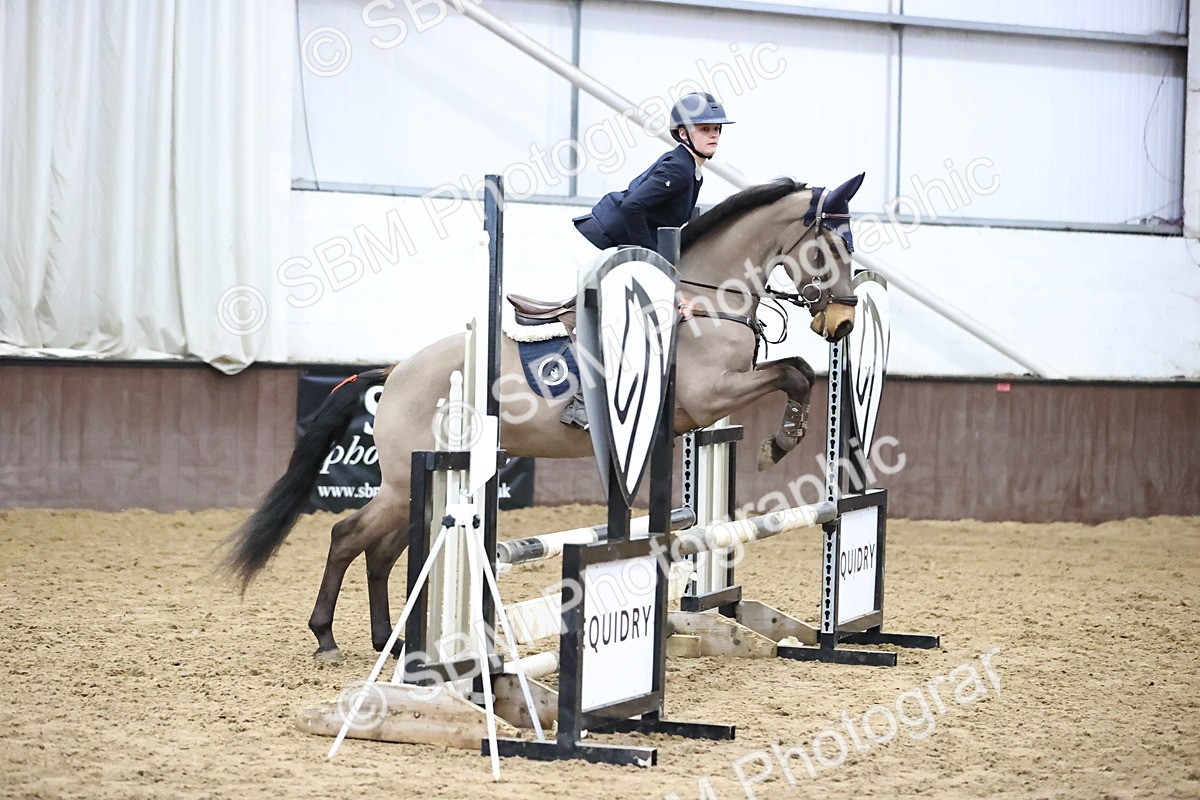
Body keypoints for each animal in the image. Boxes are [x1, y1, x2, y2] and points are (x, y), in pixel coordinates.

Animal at [224, 173, 865, 662]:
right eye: (830, 249)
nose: (842, 323)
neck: (708, 299)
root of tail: (395, 371)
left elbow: (796, 369)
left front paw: (785, 437)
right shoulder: (709, 396)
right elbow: (794, 374)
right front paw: (781, 442)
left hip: (420, 485)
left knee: (379, 551)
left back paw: (392, 639)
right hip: (409, 477)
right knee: (346, 536)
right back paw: (328, 637)